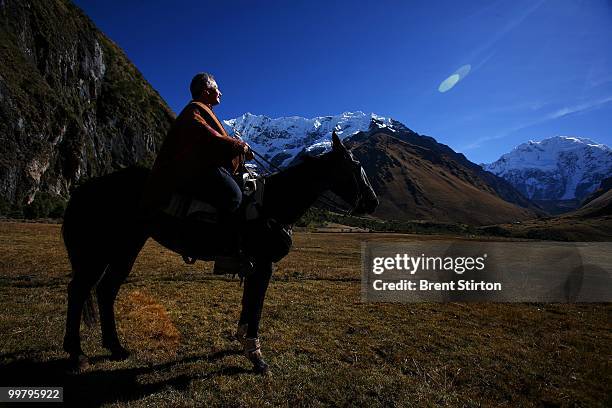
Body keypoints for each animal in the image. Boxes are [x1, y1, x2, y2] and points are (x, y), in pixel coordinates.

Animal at [62, 133, 378, 372]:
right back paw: (77, 353)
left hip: (126, 247)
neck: (273, 203)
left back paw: (116, 348)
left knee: (105, 290)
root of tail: (87, 187)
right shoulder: (264, 265)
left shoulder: (254, 265)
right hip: (100, 251)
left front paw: (243, 343)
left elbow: (248, 303)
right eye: (355, 165)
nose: (373, 202)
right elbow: (256, 306)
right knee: (79, 290)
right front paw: (256, 356)